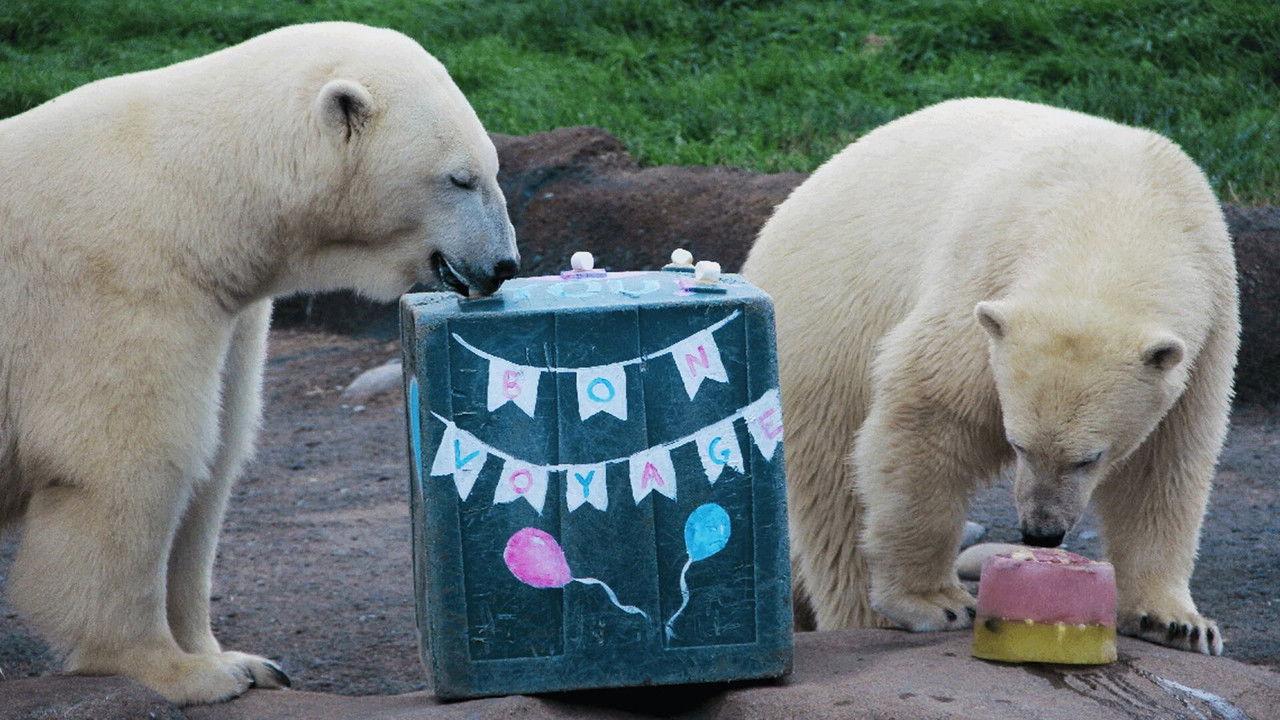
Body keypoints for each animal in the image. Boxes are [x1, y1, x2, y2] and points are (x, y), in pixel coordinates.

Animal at [0, 22, 519, 704]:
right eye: (460, 179)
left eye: (493, 168)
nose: (504, 264)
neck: (187, 196)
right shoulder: (117, 289)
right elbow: (128, 464)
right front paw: (181, 672)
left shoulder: (228, 315)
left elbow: (214, 459)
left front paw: (242, 660)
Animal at [741, 97, 1237, 656]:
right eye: (1018, 443)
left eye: (1089, 458)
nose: (1042, 532)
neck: (1116, 212)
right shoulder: (985, 285)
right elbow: (930, 411)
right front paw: (935, 602)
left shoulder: (1208, 331)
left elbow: (1165, 464)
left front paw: (1176, 622)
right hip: (823, 340)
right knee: (835, 490)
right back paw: (862, 615)